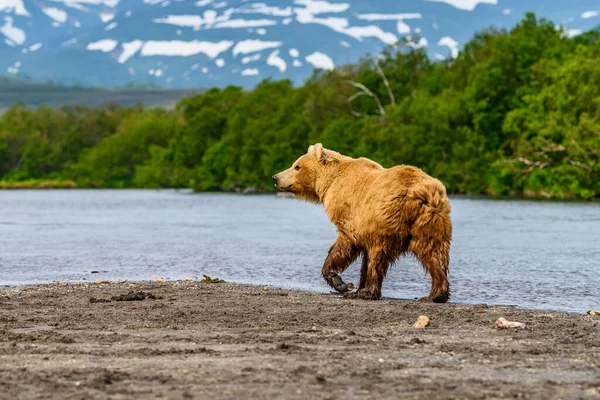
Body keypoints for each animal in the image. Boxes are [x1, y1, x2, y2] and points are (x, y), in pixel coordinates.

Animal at [272, 142, 450, 302]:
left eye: (297, 166)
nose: (275, 177)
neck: (330, 182)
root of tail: (415, 193)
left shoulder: (351, 216)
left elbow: (345, 245)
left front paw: (339, 281)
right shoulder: (364, 226)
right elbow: (363, 255)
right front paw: (352, 285)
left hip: (386, 219)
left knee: (379, 255)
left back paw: (368, 292)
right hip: (431, 219)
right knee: (433, 252)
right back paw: (436, 294)